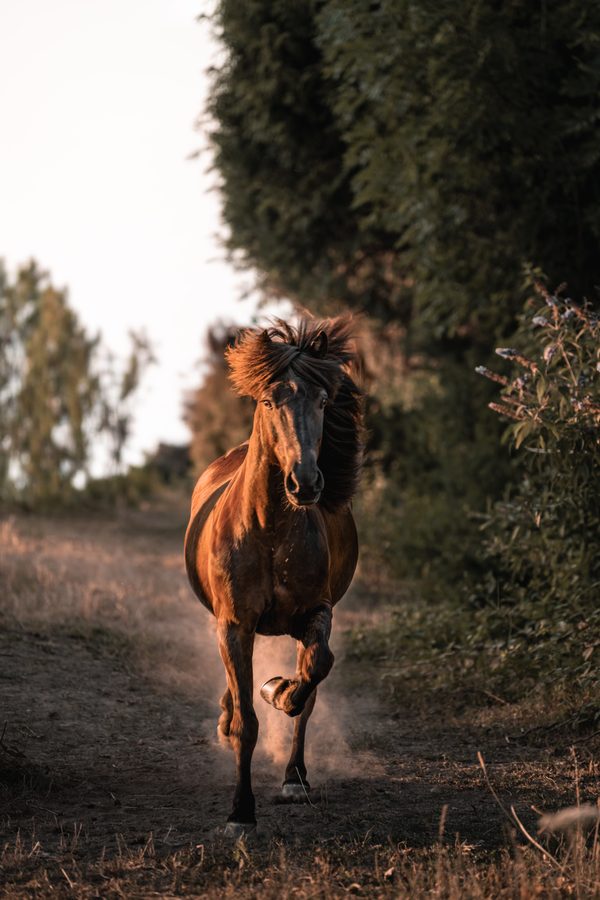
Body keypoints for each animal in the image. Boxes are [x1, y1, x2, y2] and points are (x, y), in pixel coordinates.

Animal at [184, 315, 363, 835]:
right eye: (269, 400)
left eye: (322, 400)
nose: (305, 483)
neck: (268, 531)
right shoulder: (234, 624)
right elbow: (247, 722)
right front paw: (240, 813)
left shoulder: (315, 613)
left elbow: (314, 671)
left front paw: (278, 690)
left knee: (310, 693)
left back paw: (294, 776)